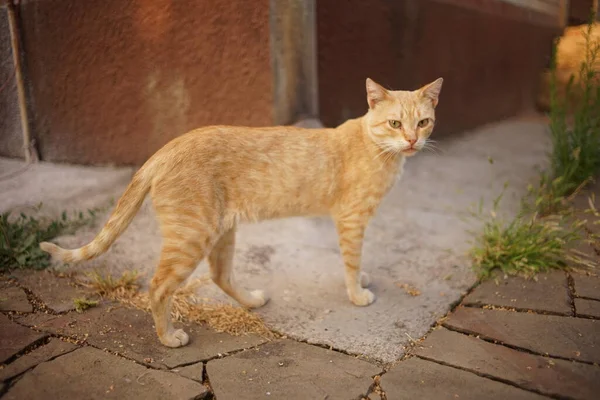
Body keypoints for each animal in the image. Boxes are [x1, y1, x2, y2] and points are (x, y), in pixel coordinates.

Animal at [37, 77, 440, 346]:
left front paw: (363, 281)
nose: (412, 140)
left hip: (221, 231)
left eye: (423, 122)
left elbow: (356, 262)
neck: (379, 149)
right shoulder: (352, 219)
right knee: (158, 286)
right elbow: (352, 262)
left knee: (220, 275)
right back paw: (168, 337)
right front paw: (357, 294)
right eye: (394, 123)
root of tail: (165, 148)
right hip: (193, 237)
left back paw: (252, 301)